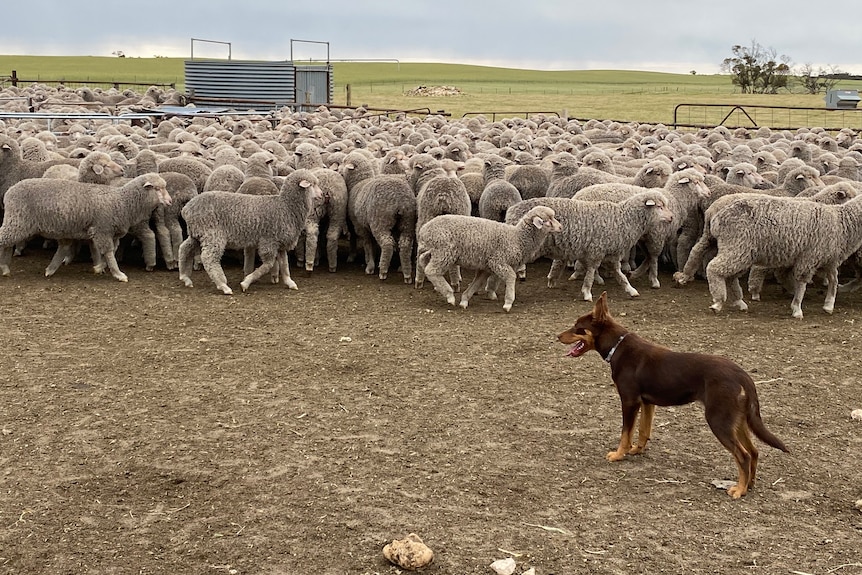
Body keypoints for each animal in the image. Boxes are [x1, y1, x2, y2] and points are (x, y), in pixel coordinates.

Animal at [0, 176, 172, 284]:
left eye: (165, 187)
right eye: (158, 188)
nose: (170, 201)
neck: (123, 202)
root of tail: (10, 191)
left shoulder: (111, 233)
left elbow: (109, 251)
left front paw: (100, 267)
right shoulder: (103, 230)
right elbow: (109, 252)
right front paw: (119, 274)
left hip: (25, 223)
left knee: (10, 244)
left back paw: (13, 268)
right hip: (18, 221)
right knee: (5, 241)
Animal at [179, 165, 324, 292]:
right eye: (313, 184)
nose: (322, 194)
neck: (286, 206)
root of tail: (187, 208)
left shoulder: (281, 243)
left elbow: (284, 265)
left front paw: (290, 282)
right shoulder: (269, 241)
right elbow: (268, 265)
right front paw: (246, 282)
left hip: (197, 233)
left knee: (184, 248)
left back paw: (185, 277)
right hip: (212, 234)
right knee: (208, 258)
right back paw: (223, 286)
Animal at [340, 151, 418, 282]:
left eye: (344, 161)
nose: (338, 170)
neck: (358, 182)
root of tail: (400, 201)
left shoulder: (360, 226)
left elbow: (367, 244)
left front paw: (370, 266)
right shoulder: (367, 225)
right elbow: (372, 245)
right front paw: (370, 260)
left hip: (380, 222)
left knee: (387, 244)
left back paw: (383, 272)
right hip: (407, 221)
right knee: (405, 244)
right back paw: (406, 273)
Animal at [416, 202, 564, 310]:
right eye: (548, 220)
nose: (561, 227)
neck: (516, 237)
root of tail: (424, 229)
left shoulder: (486, 266)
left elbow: (477, 283)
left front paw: (464, 300)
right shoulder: (497, 261)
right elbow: (511, 277)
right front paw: (508, 303)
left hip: (435, 251)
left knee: (423, 260)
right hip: (444, 252)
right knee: (431, 270)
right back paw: (449, 295)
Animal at [560, 292, 788, 500]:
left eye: (577, 327)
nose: (557, 336)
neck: (618, 346)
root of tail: (742, 375)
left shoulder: (629, 401)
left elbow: (626, 433)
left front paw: (618, 454)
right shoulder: (647, 403)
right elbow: (643, 430)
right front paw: (637, 450)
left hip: (719, 420)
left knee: (744, 455)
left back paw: (738, 490)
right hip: (737, 421)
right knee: (754, 451)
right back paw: (749, 485)